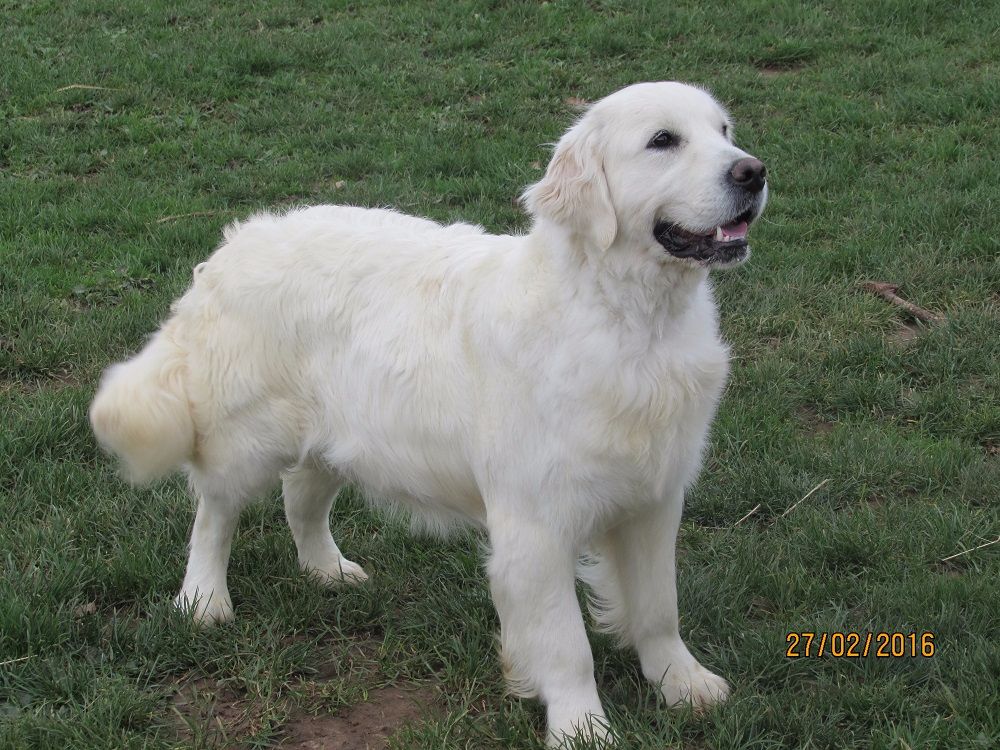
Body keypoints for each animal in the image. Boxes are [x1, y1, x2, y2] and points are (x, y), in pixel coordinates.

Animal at [90, 81, 767, 746]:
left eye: (724, 131)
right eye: (663, 140)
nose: (754, 171)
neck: (631, 321)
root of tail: (235, 244)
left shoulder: (655, 497)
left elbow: (657, 608)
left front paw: (682, 683)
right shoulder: (535, 525)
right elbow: (567, 646)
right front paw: (582, 728)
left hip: (340, 435)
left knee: (299, 499)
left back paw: (326, 569)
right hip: (245, 440)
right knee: (214, 515)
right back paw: (204, 600)